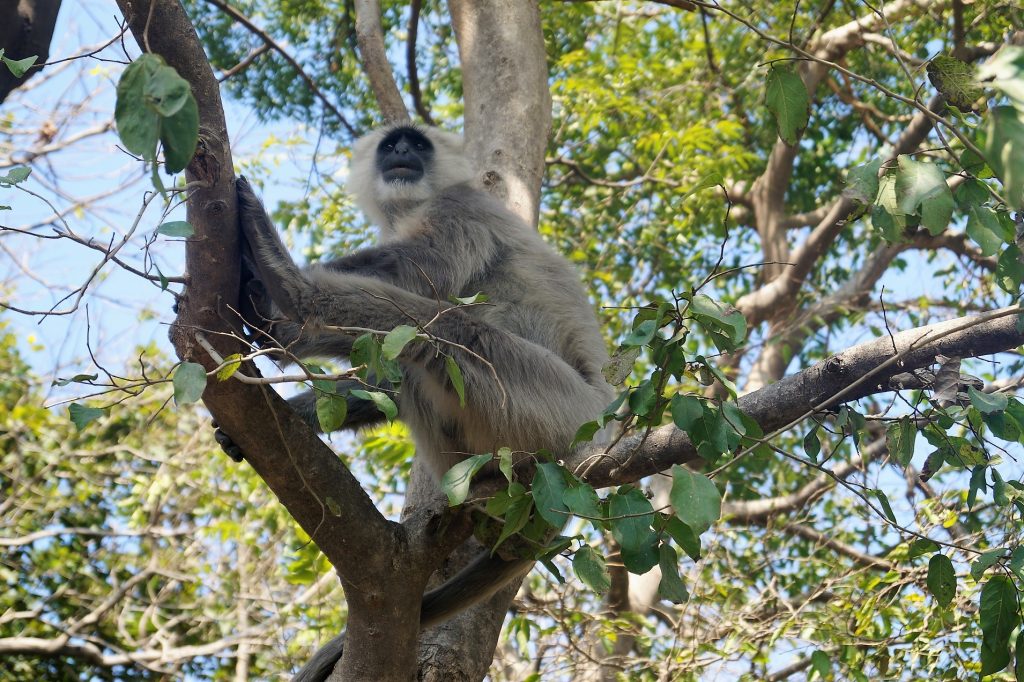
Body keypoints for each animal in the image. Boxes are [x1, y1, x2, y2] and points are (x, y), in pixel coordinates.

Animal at [224, 124, 610, 675]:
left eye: (417, 145)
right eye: (393, 146)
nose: (404, 152)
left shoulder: (460, 207)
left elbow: (409, 271)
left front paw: (272, 284)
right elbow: (385, 374)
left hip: (555, 406)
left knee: (440, 327)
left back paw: (294, 293)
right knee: (414, 365)